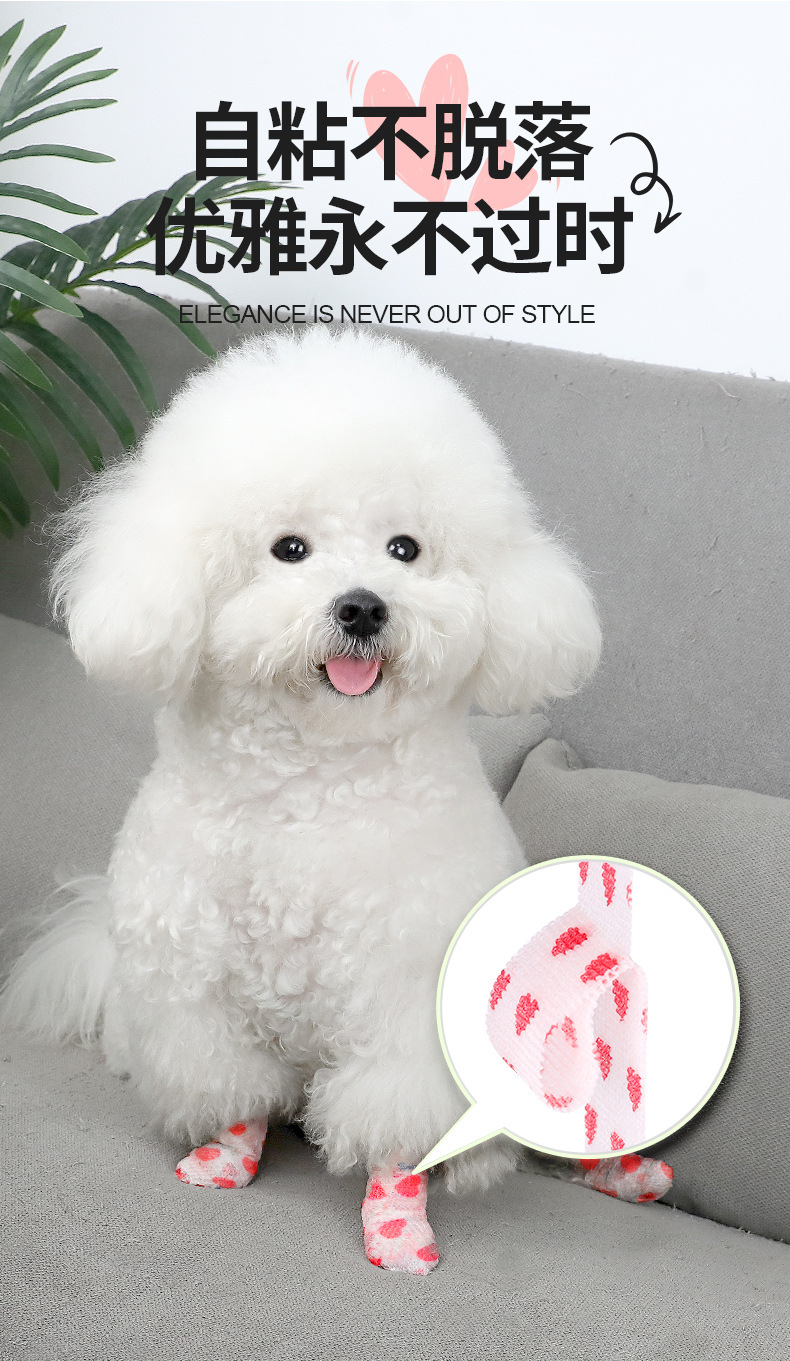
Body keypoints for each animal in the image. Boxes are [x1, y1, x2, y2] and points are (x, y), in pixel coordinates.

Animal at [2, 329, 603, 1273]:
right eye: (289, 548)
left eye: (405, 548)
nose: (361, 606)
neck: (310, 786)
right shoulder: (196, 991)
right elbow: (231, 1085)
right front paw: (224, 1158)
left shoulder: (406, 998)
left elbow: (395, 1121)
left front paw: (397, 1228)